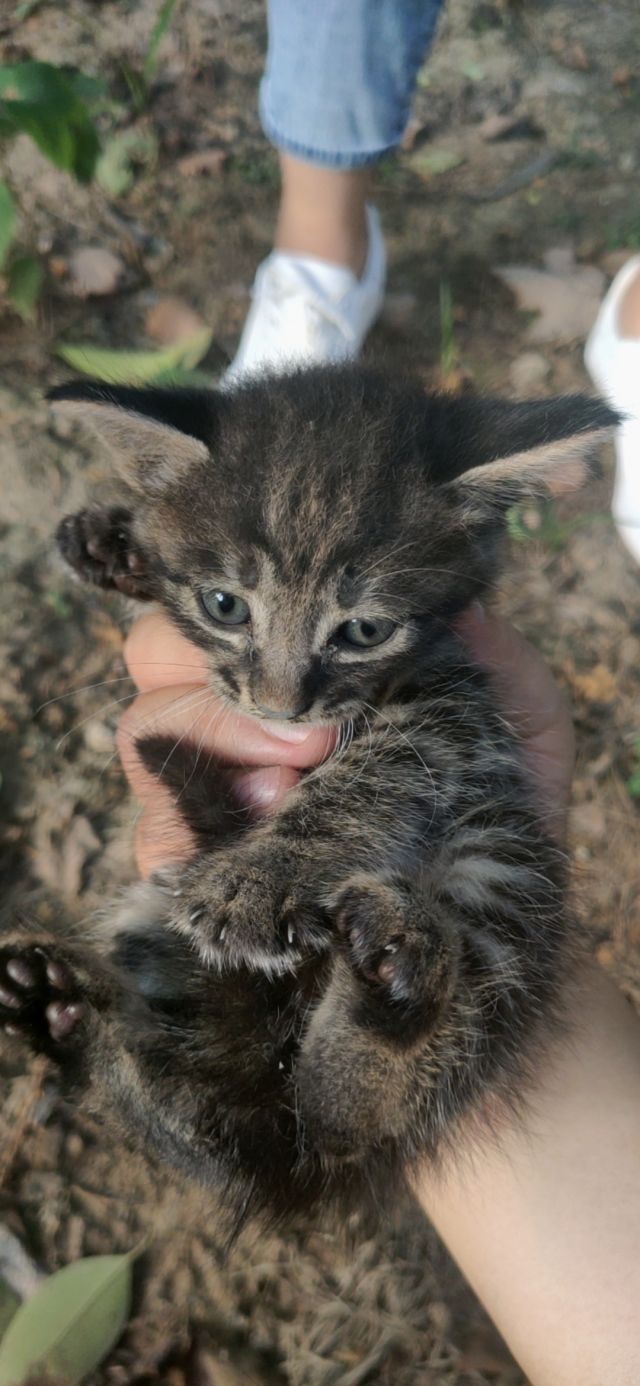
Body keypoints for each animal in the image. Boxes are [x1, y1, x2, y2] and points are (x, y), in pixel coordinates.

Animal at [0, 365, 615, 1225]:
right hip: (159, 951)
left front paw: (262, 880)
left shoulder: (456, 712)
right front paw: (118, 543)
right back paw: (62, 1013)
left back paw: (390, 990)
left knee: (347, 1119)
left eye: (364, 631)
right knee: (213, 1129)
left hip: (503, 871)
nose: (280, 708)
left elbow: (373, 774)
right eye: (225, 606)